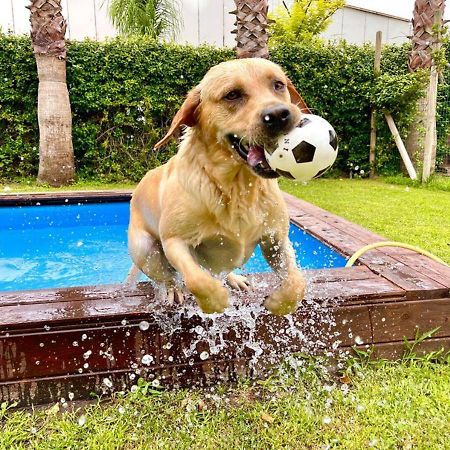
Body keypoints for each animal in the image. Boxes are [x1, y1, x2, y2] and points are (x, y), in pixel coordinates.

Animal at [126, 58, 310, 314]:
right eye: (232, 95)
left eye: (278, 85)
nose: (279, 115)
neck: (237, 187)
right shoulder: (174, 241)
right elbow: (196, 279)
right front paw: (215, 300)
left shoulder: (276, 239)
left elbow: (297, 283)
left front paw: (278, 303)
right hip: (144, 248)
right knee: (167, 276)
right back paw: (173, 289)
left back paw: (234, 279)